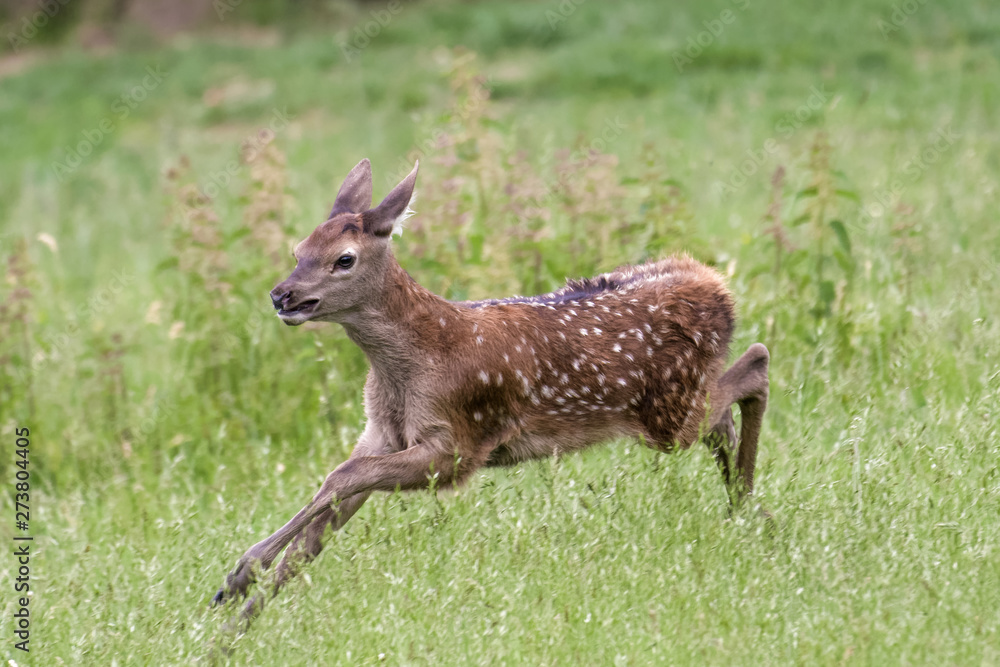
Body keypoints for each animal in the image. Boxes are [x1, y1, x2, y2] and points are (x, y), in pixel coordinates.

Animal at [211, 158, 770, 623]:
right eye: (298, 250)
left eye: (343, 259)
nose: (282, 296)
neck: (410, 367)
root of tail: (716, 285)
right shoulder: (381, 433)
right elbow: (321, 523)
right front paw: (234, 626)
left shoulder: (459, 442)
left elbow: (339, 478)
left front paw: (239, 575)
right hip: (678, 404)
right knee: (727, 407)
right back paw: (741, 502)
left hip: (667, 411)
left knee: (756, 364)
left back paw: (744, 504)